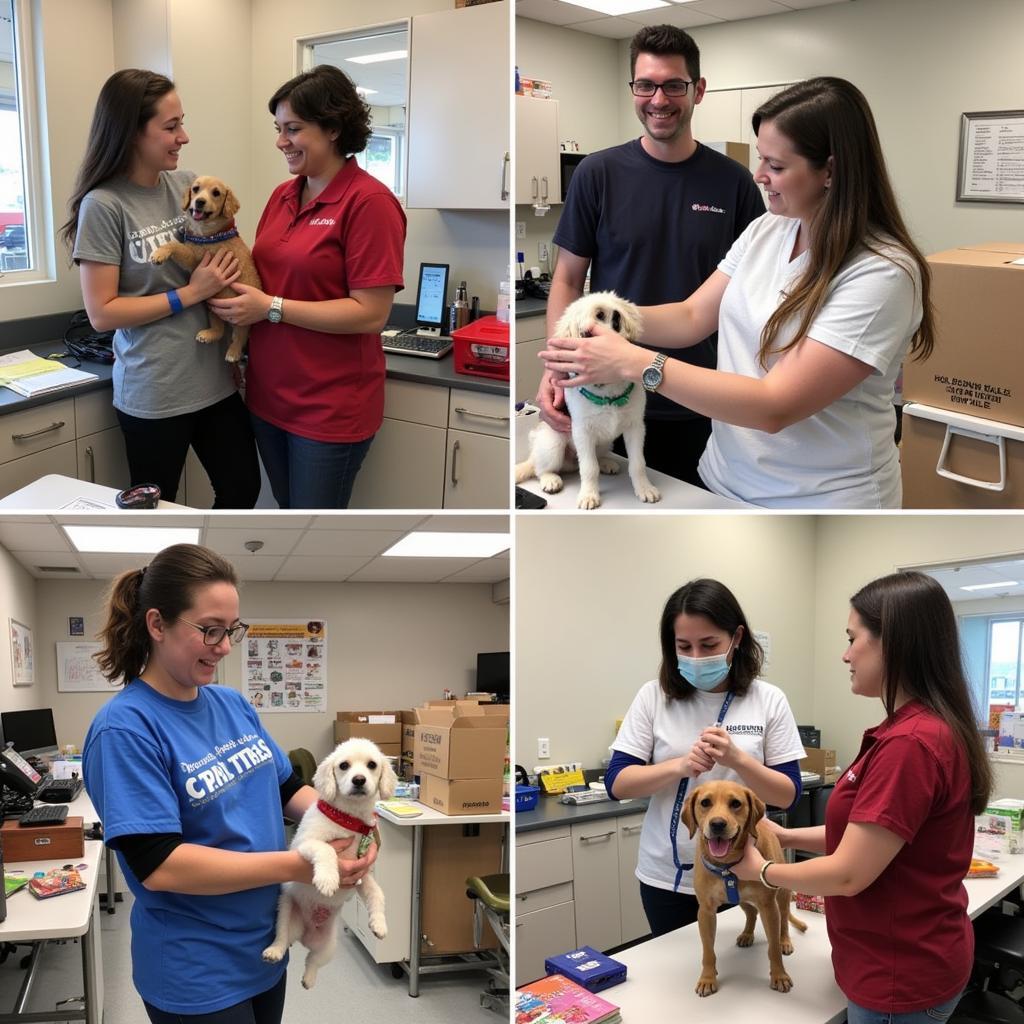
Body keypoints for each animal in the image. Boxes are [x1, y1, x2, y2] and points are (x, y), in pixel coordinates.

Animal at [152, 176, 266, 364]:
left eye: (216, 193)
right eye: (195, 189)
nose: (199, 202)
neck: (209, 233)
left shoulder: (195, 259)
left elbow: (175, 245)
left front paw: (159, 253)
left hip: (241, 315)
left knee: (241, 335)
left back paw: (233, 352)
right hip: (213, 306)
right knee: (219, 330)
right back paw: (209, 334)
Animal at [260, 741, 395, 987]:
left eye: (372, 765)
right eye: (344, 765)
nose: (359, 780)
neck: (349, 820)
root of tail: (304, 934)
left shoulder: (362, 874)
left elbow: (377, 894)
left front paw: (379, 923)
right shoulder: (304, 844)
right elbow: (327, 849)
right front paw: (327, 880)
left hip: (329, 946)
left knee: (313, 960)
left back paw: (308, 978)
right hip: (285, 913)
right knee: (282, 939)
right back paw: (274, 951)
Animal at [512, 292, 663, 507]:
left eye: (616, 319)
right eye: (599, 315)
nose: (618, 316)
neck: (608, 386)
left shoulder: (635, 427)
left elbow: (638, 463)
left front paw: (644, 488)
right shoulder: (583, 432)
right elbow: (589, 468)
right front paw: (589, 494)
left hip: (605, 443)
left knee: (596, 458)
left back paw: (606, 463)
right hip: (553, 444)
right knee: (540, 469)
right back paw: (550, 479)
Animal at [679, 782, 806, 991]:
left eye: (735, 803)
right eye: (705, 802)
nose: (717, 824)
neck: (727, 867)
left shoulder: (769, 908)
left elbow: (773, 948)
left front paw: (779, 975)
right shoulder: (705, 912)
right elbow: (708, 951)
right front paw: (707, 978)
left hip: (782, 896)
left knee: (784, 920)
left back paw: (785, 941)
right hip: (741, 899)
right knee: (751, 913)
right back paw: (747, 934)